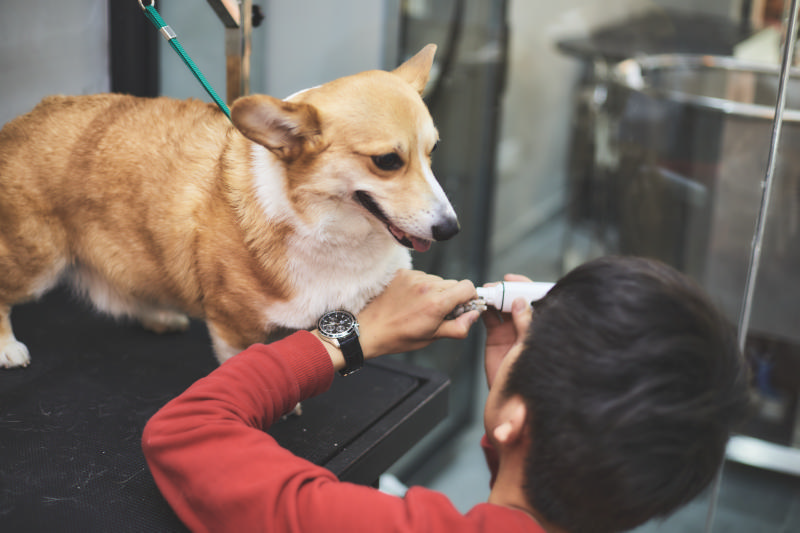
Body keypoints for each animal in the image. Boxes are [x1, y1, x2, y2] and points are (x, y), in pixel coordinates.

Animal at [0, 44, 456, 366]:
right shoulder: (233, 326)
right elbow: (249, 361)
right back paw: (7, 348)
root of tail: (24, 119)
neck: (324, 225)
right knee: (5, 293)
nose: (451, 229)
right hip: (36, 263)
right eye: (387, 161)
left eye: (433, 150)